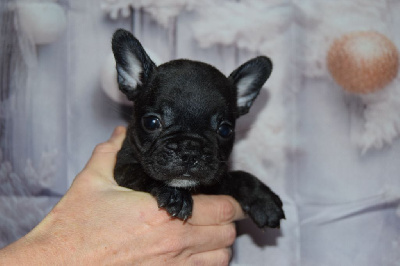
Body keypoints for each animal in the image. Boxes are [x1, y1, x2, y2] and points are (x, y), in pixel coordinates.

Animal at [111, 29, 284, 229]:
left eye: (225, 130)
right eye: (152, 122)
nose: (190, 150)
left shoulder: (217, 181)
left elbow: (239, 176)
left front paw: (263, 199)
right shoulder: (123, 169)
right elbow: (144, 174)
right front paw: (175, 194)